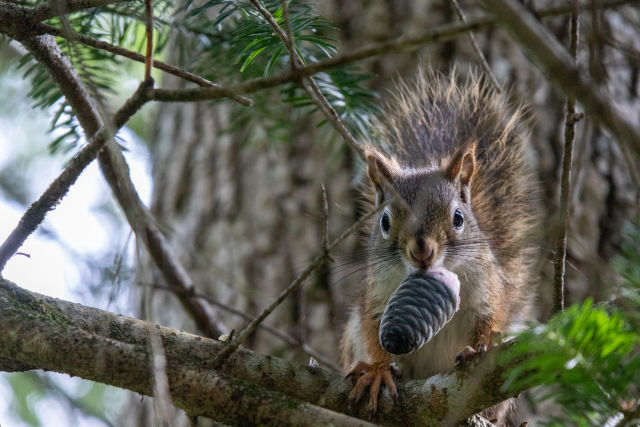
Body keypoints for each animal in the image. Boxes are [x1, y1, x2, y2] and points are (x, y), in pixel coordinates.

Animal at [340, 69, 540, 424]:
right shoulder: (377, 296)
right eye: (385, 222)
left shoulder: (486, 288)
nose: (422, 251)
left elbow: (491, 317)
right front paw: (378, 371)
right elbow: (373, 330)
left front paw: (483, 345)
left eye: (458, 217)